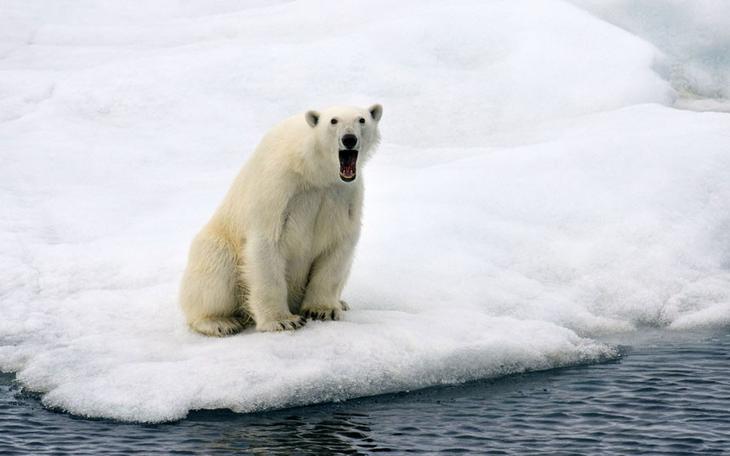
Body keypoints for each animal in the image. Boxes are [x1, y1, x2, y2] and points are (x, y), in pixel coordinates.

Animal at [178, 105, 382, 336]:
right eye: (333, 120)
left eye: (361, 120)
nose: (349, 139)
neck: (312, 170)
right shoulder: (280, 186)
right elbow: (267, 243)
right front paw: (283, 321)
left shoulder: (343, 195)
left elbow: (338, 248)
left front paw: (323, 310)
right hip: (218, 241)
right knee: (215, 268)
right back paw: (220, 322)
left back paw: (342, 302)